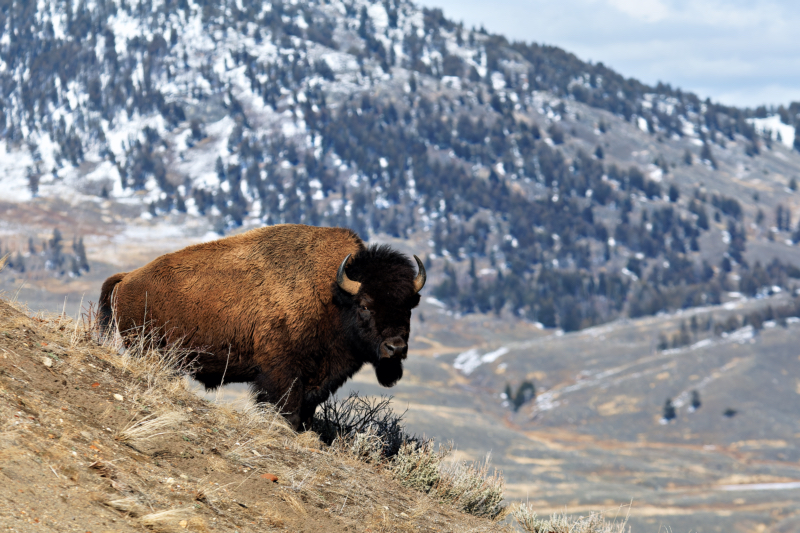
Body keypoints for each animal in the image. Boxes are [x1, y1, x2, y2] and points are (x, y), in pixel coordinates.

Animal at [97, 223, 424, 428]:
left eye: (409, 305)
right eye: (365, 305)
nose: (395, 348)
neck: (332, 295)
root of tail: (128, 278)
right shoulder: (281, 373)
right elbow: (287, 408)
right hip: (146, 347)